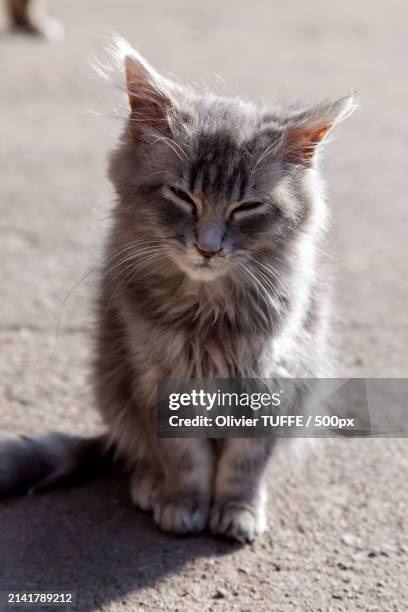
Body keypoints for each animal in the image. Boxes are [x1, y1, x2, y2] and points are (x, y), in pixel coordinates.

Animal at [0, 40, 354, 544]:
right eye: (183, 196)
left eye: (247, 207)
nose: (208, 248)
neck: (205, 312)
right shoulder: (158, 378)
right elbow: (185, 460)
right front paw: (185, 503)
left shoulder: (272, 378)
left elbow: (243, 463)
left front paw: (237, 510)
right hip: (113, 381)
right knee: (135, 449)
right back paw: (151, 485)